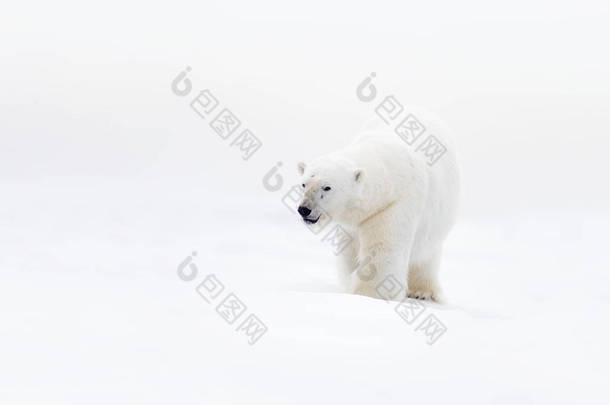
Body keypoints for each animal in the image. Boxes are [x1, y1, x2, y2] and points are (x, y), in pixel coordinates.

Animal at [296, 112, 458, 302]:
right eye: (304, 184)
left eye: (327, 187)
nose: (304, 209)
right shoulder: (352, 224)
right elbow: (349, 252)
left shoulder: (394, 205)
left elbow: (383, 251)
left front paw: (368, 295)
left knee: (426, 255)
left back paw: (423, 291)